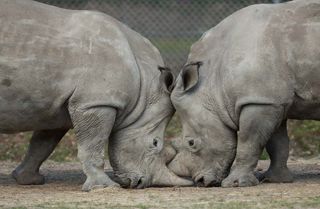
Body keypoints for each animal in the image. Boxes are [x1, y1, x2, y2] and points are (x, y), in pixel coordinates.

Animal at [0, 0, 191, 191]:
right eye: (155, 143)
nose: (140, 183)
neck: (144, 92)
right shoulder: (96, 102)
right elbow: (93, 144)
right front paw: (104, 186)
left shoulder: (57, 107)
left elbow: (42, 144)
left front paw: (29, 179)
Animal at [169, 0, 318, 187]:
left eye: (191, 143)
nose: (201, 182)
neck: (211, 79)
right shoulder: (271, 99)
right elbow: (277, 143)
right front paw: (275, 179)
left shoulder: (258, 101)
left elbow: (249, 141)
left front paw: (235, 184)